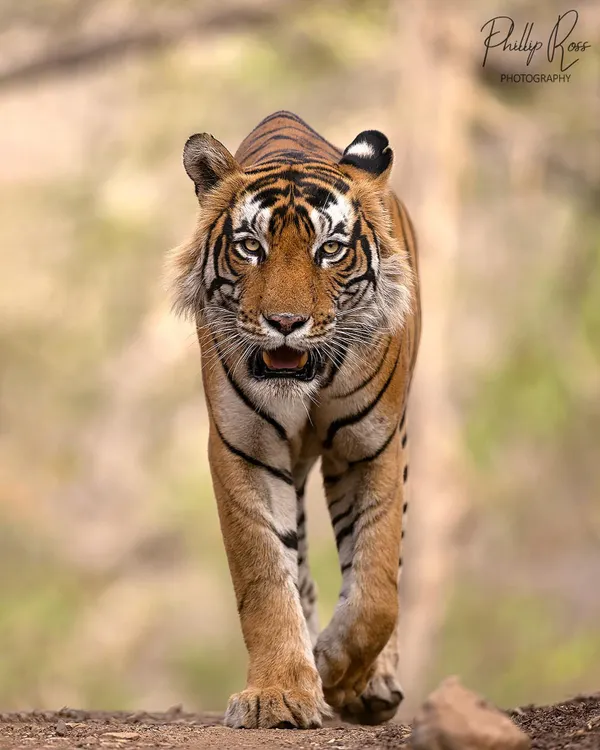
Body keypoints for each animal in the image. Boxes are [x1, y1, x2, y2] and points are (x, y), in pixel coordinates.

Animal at [169, 110, 421, 729]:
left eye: (330, 250)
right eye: (250, 247)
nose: (285, 322)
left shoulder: (371, 448)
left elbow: (377, 588)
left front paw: (336, 669)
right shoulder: (246, 450)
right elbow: (265, 577)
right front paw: (281, 692)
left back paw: (373, 682)